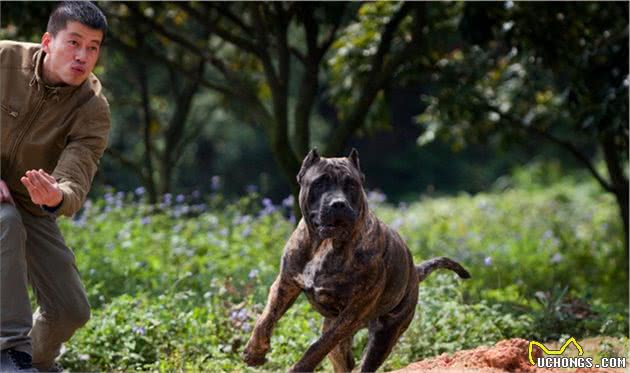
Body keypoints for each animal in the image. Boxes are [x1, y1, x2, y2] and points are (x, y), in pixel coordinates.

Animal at [244, 149, 472, 372]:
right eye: (319, 183)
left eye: (351, 184)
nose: (338, 204)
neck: (325, 244)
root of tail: (414, 271)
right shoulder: (286, 283)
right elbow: (266, 318)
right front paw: (255, 351)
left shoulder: (352, 313)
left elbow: (318, 346)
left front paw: (297, 368)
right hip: (341, 342)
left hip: (383, 336)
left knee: (363, 362)